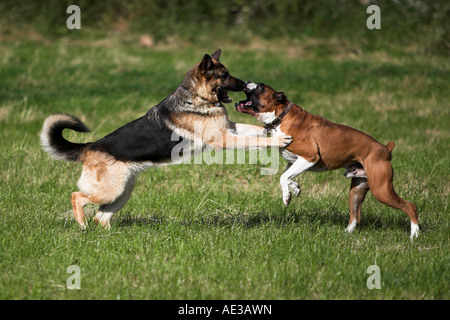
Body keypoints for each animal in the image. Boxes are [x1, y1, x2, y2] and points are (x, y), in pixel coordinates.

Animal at [42, 50, 292, 229]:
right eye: (225, 75)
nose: (246, 84)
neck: (196, 98)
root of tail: (89, 147)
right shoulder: (224, 139)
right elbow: (254, 141)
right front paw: (276, 141)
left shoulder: (229, 128)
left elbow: (254, 130)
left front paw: (271, 129)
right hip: (110, 190)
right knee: (77, 197)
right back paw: (82, 225)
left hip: (123, 191)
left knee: (101, 218)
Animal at [237, 82, 420, 238]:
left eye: (260, 87)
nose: (246, 82)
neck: (281, 117)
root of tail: (385, 148)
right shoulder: (293, 162)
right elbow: (287, 175)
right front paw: (295, 188)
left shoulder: (309, 157)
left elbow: (283, 177)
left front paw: (287, 196)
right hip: (357, 190)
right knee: (356, 216)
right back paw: (345, 233)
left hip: (381, 189)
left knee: (410, 206)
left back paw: (415, 234)